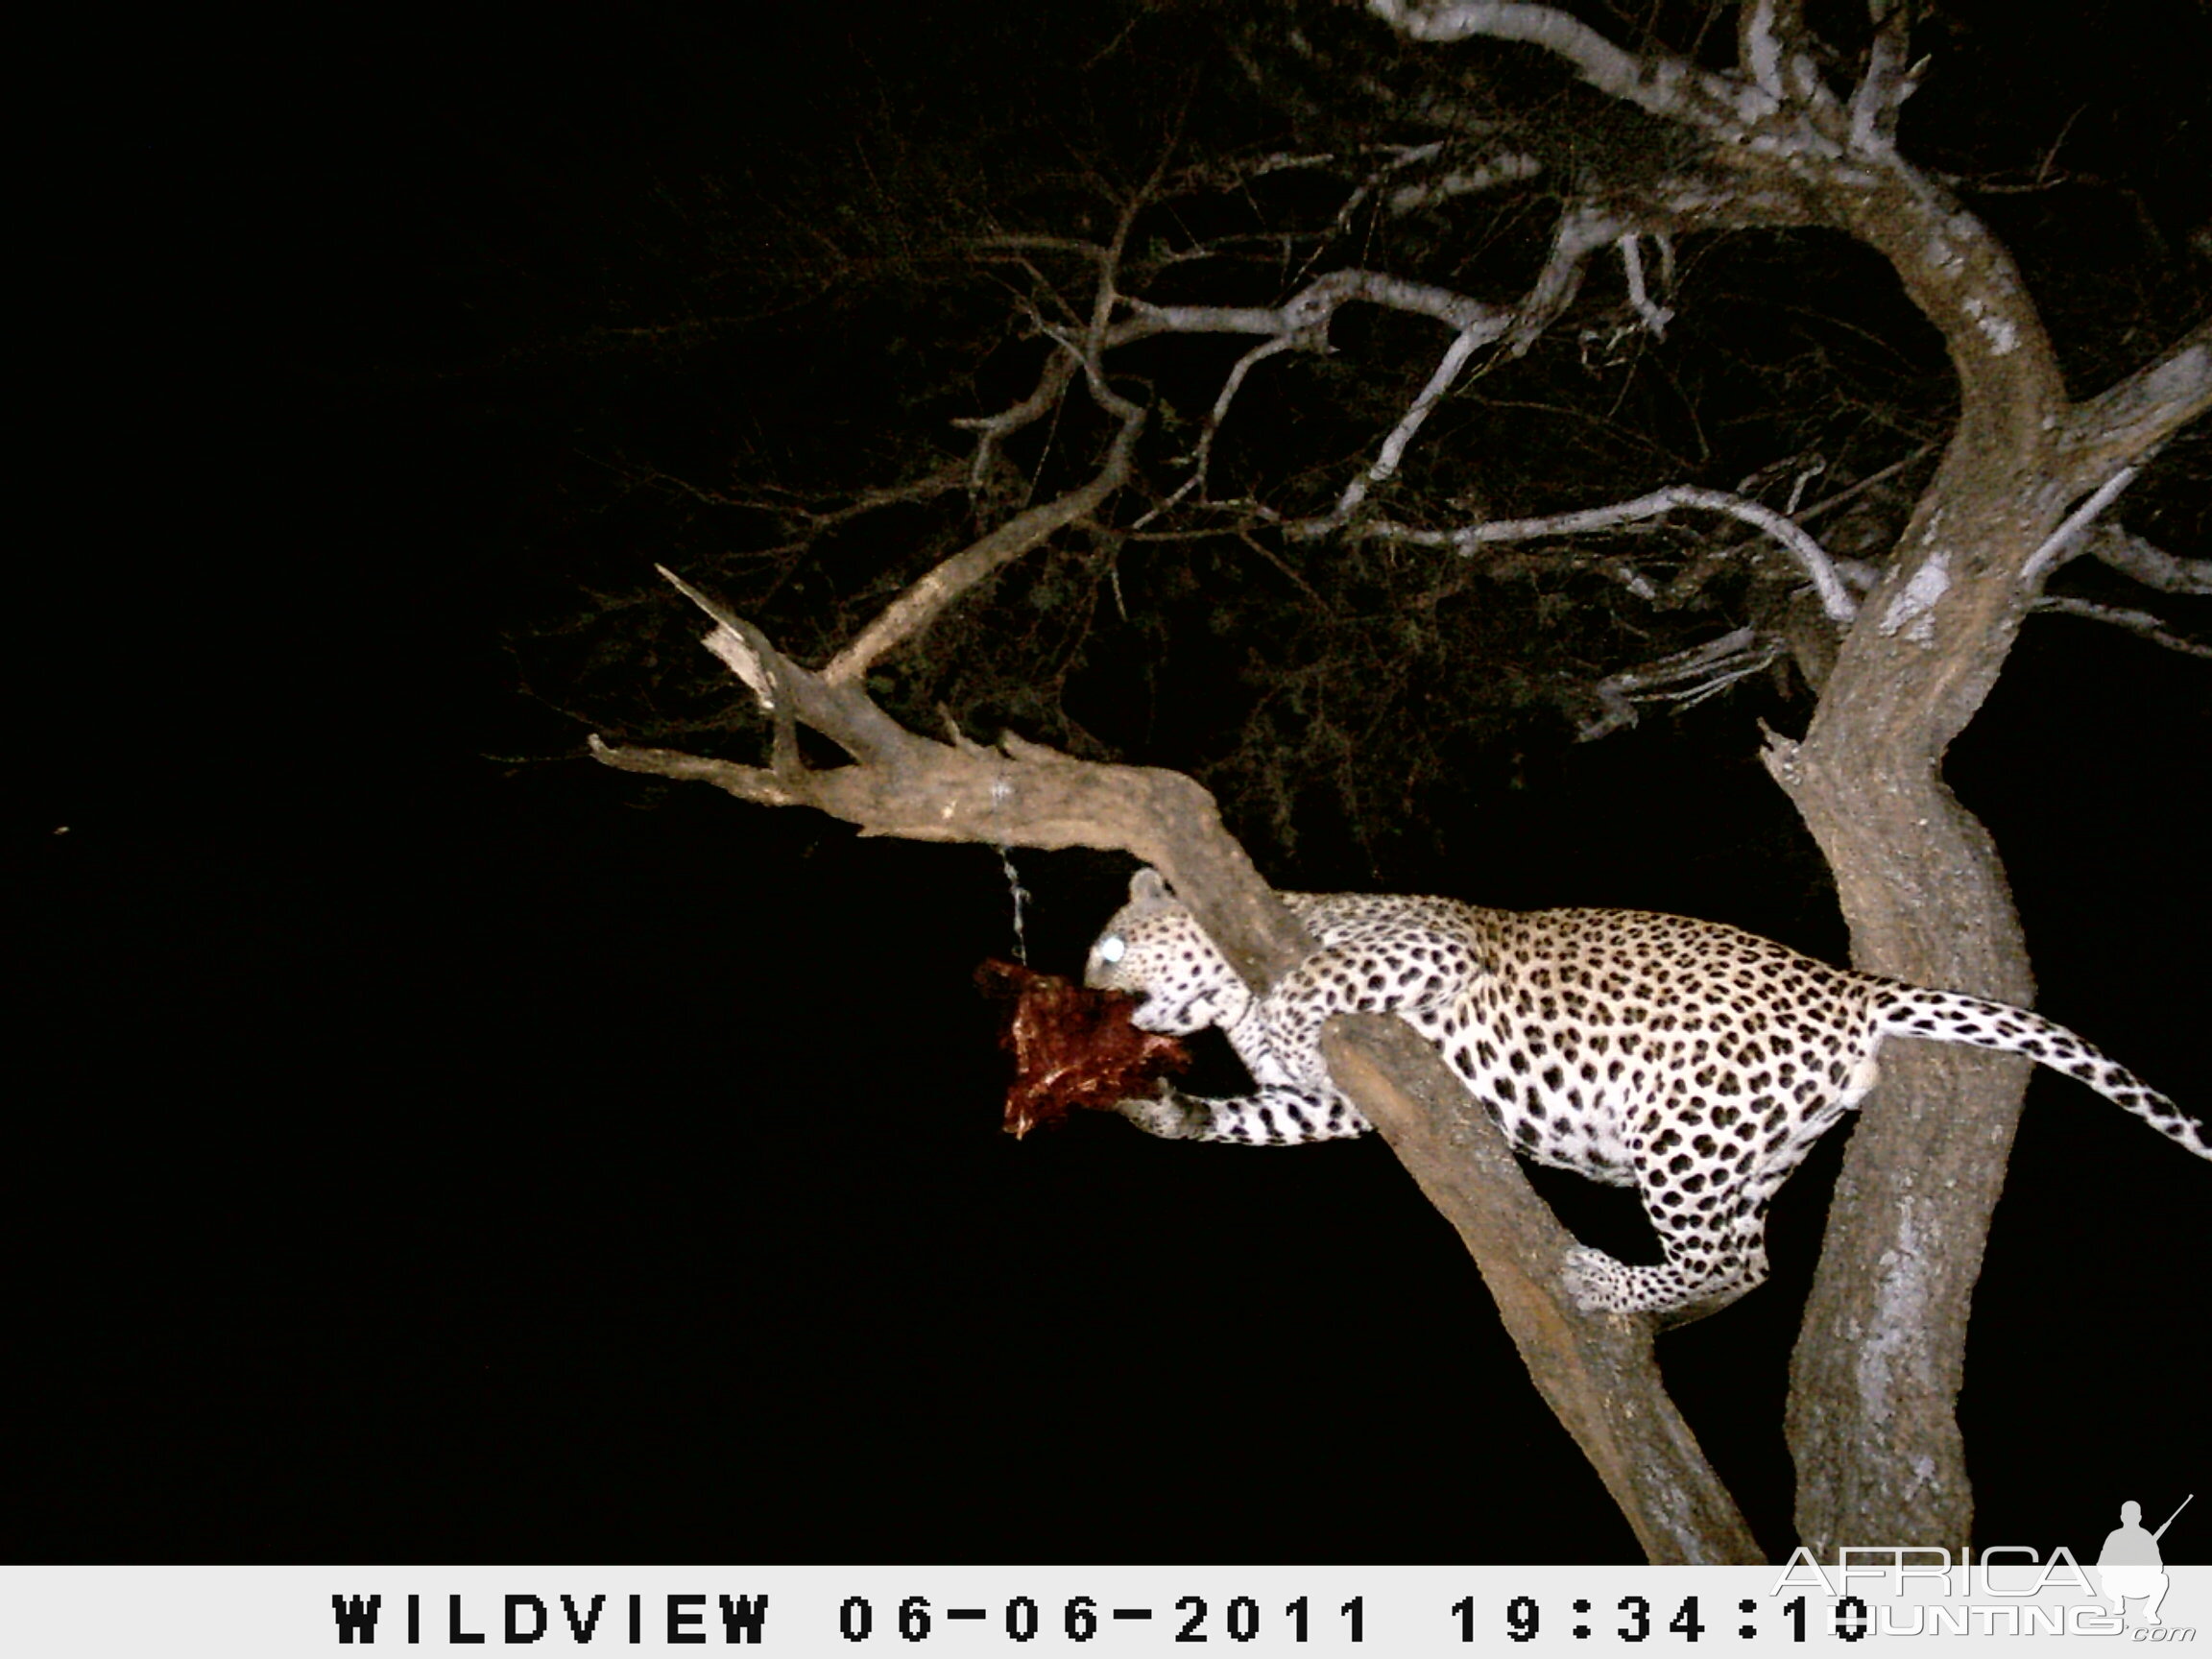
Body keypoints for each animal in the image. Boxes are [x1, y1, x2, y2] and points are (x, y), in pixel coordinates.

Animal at [1079, 871, 2202, 1327]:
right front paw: (1155, 1108)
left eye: (1110, 949)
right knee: (1747, 1263)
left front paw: (1279, 1007)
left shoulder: (1425, 946)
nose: (1088, 997)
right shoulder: (1341, 1103)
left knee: (1731, 1259)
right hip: (1746, 1146)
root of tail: (1850, 989)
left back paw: (1602, 1281)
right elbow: (1254, 1117)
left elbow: (1318, 978)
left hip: (1681, 1129)